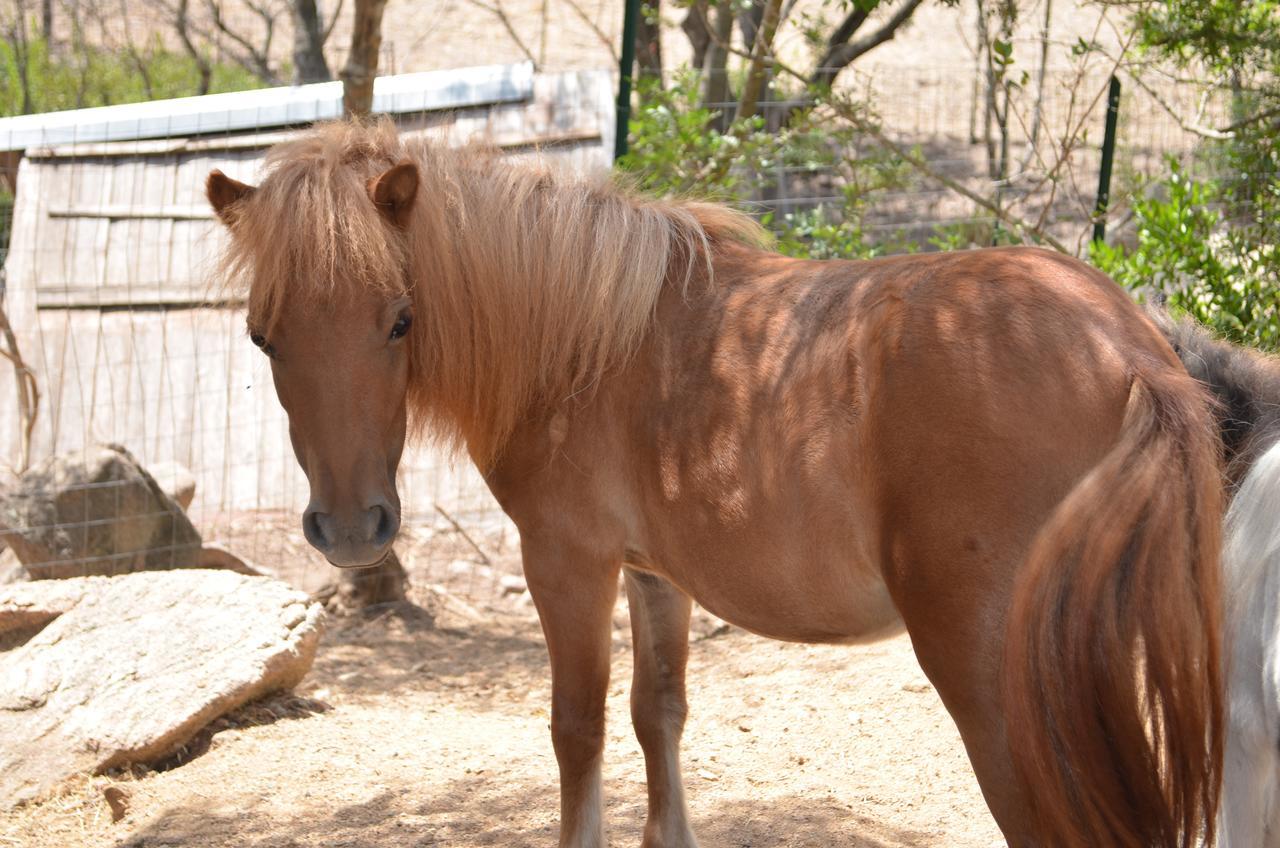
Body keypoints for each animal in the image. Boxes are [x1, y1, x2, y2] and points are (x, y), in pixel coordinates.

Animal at [204, 119, 1223, 848]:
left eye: (400, 319)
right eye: (263, 336)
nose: (350, 529)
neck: (587, 344)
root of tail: (1131, 354)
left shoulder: (567, 565)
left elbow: (578, 728)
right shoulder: (657, 576)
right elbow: (658, 716)